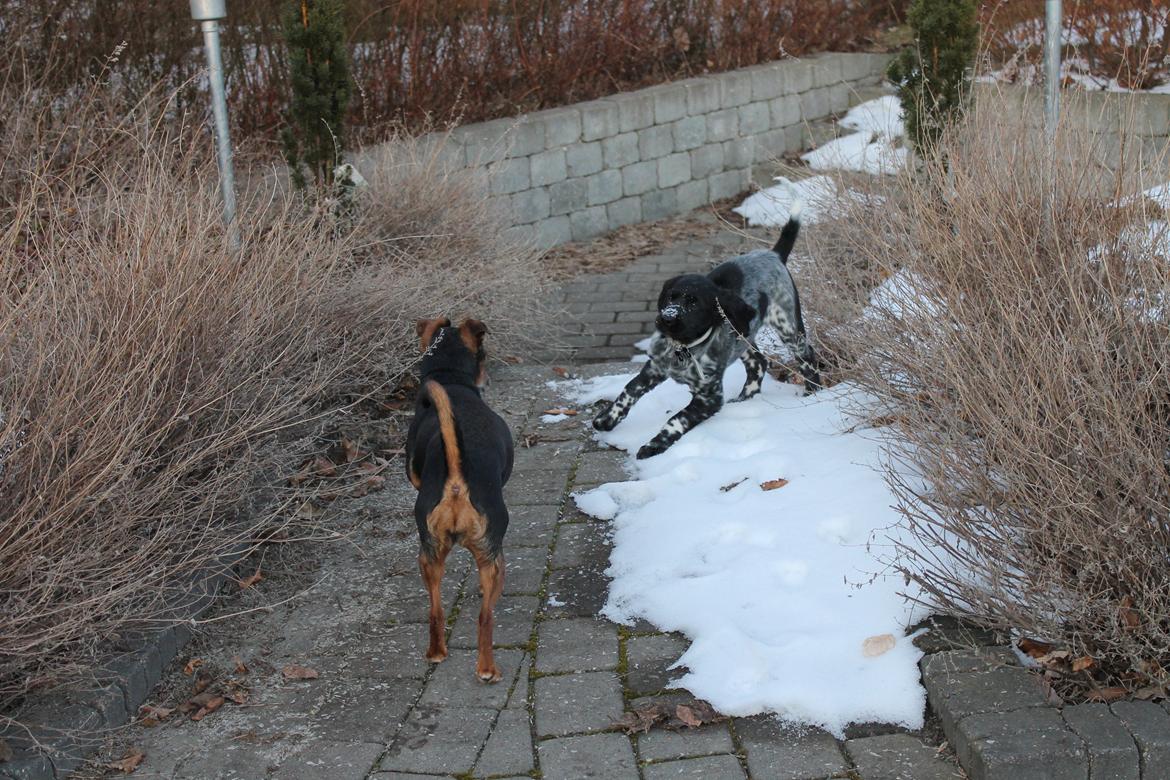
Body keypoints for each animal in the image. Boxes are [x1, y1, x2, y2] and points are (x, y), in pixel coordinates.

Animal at [407, 313, 512, 678]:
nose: (488, 379)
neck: (449, 380)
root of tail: (455, 483)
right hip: (493, 556)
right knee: (486, 617)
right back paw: (487, 669)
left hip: (429, 554)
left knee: (435, 609)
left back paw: (437, 652)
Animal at [589, 204, 819, 460]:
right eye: (671, 297)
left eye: (694, 304)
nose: (667, 317)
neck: (683, 347)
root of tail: (774, 255)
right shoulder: (654, 368)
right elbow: (629, 391)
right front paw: (606, 420)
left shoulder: (709, 397)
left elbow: (676, 418)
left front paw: (654, 445)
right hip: (743, 336)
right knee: (758, 362)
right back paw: (744, 400)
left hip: (788, 325)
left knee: (807, 356)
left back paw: (813, 392)